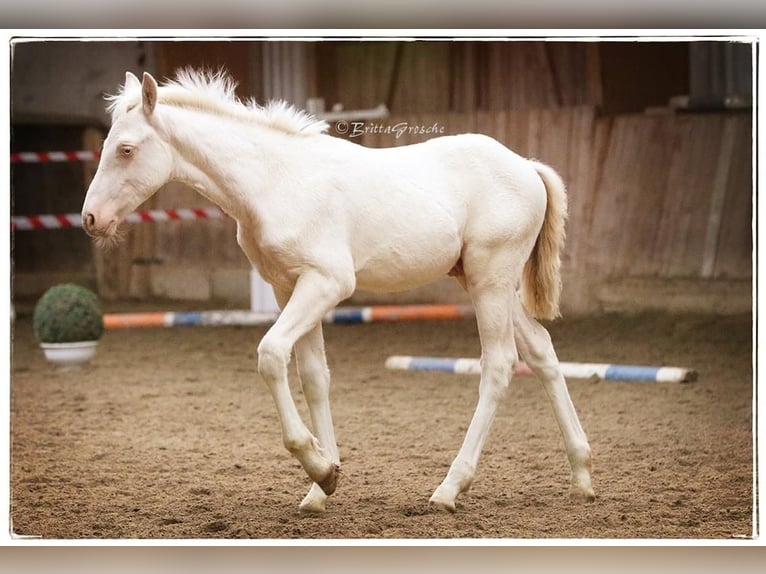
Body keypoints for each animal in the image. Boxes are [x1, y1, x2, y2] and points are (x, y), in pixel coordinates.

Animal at [81, 70, 596, 516]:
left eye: (125, 149)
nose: (90, 219)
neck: (274, 180)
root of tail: (527, 167)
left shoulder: (327, 282)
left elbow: (271, 354)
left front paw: (319, 467)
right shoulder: (289, 286)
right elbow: (314, 377)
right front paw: (322, 484)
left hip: (491, 279)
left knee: (499, 365)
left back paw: (450, 488)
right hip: (485, 282)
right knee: (542, 352)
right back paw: (581, 476)